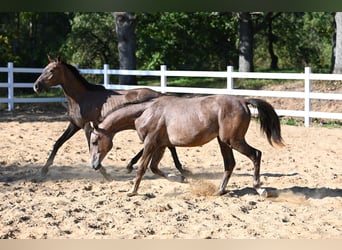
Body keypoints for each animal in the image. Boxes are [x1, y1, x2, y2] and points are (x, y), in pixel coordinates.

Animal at [33, 55, 184, 179]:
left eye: (52, 70)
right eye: (44, 69)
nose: (36, 86)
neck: (82, 98)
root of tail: (159, 95)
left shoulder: (88, 127)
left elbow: (91, 147)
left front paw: (104, 172)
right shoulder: (74, 125)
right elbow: (58, 143)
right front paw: (44, 170)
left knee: (166, 145)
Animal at [89, 94, 284, 196]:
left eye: (94, 141)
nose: (94, 165)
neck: (146, 112)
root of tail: (243, 101)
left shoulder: (151, 143)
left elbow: (142, 168)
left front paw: (132, 191)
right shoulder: (161, 145)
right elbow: (154, 168)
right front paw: (180, 178)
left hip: (233, 141)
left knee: (256, 154)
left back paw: (259, 188)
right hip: (223, 142)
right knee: (230, 163)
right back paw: (220, 191)